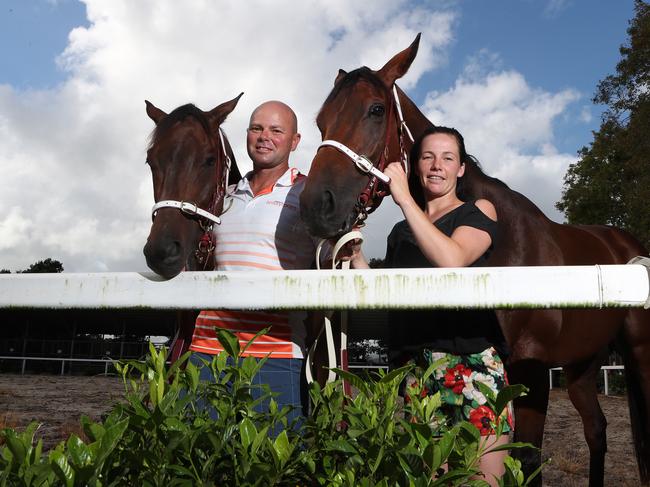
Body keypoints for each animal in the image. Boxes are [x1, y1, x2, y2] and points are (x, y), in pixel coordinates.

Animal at [298, 36, 648, 486]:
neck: (508, 254)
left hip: (637, 352)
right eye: (321, 121)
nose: (316, 207)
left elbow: (526, 462)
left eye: (375, 110)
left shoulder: (531, 373)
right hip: (582, 364)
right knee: (596, 431)